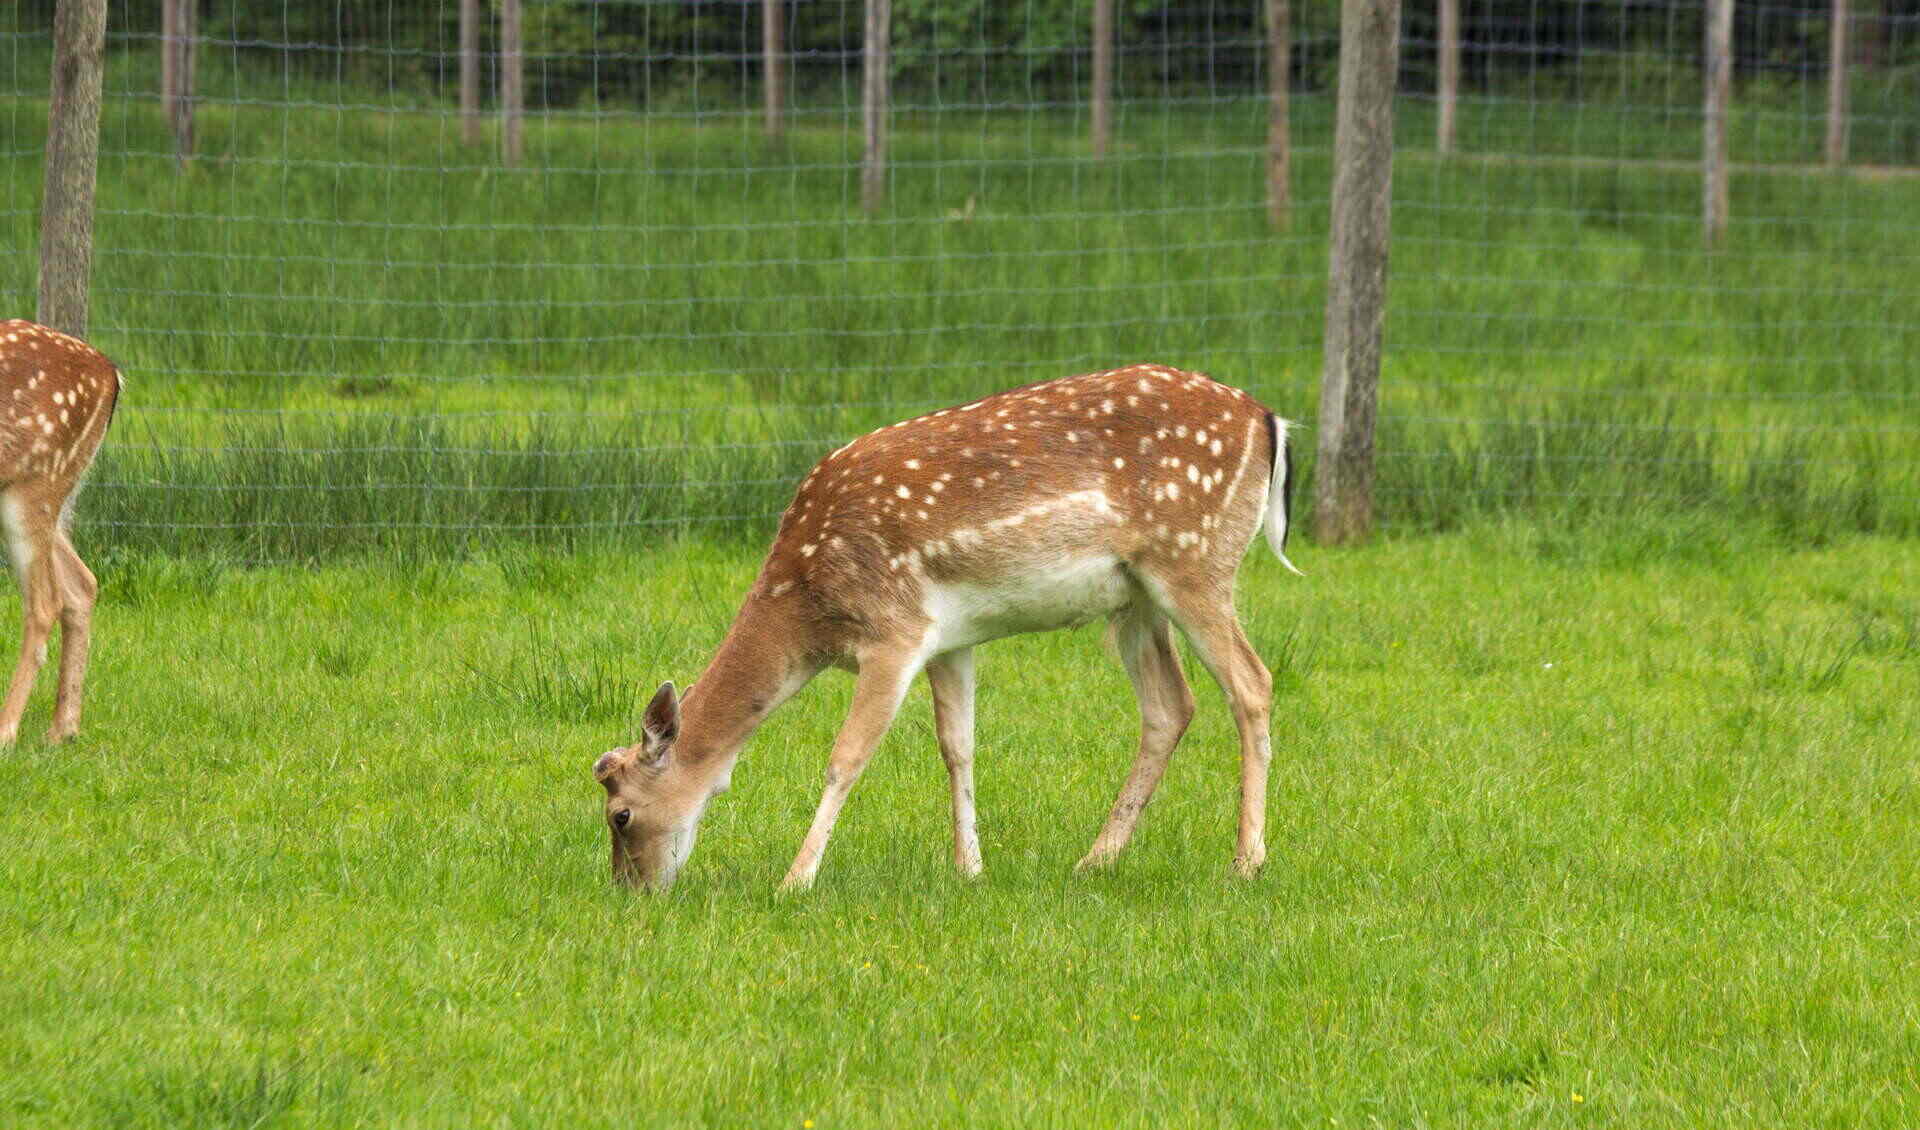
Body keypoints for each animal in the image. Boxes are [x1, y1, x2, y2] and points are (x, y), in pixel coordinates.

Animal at [0, 320, 121, 740]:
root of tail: (111, 373)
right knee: (82, 583)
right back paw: (62, 729)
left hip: (36, 479)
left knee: (44, 603)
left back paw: (7, 730)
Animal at [587, 360, 1305, 890]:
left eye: (620, 815)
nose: (632, 889)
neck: (810, 606)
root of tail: (1268, 420)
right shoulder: (949, 640)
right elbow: (957, 746)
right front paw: (970, 869)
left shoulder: (893, 632)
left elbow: (846, 757)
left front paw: (796, 879)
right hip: (1136, 599)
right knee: (1170, 705)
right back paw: (1095, 858)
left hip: (1194, 560)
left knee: (1253, 683)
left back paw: (1246, 861)